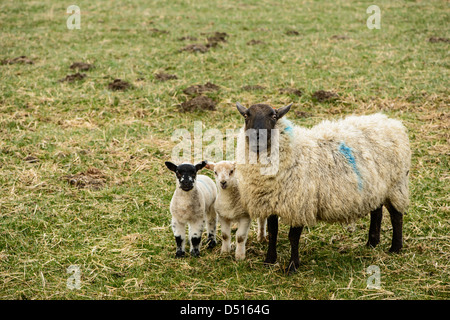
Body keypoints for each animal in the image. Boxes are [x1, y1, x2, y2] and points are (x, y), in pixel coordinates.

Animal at [236, 102, 412, 272]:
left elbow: (293, 237)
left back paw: (395, 248)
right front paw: (269, 261)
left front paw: (292, 266)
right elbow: (273, 233)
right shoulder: (273, 201)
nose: (257, 137)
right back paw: (372, 243)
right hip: (375, 187)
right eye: (246, 116)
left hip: (395, 185)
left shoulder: (301, 204)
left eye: (273, 116)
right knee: (377, 211)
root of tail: (390, 122)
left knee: (396, 215)